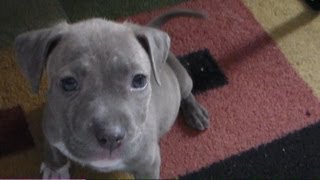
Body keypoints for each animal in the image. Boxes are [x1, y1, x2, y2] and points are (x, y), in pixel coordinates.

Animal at [14, 9, 210, 178]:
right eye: (68, 83)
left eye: (139, 80)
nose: (111, 137)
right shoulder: (50, 127)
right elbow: (53, 151)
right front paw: (55, 169)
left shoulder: (149, 163)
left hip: (183, 79)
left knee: (187, 93)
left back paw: (196, 113)